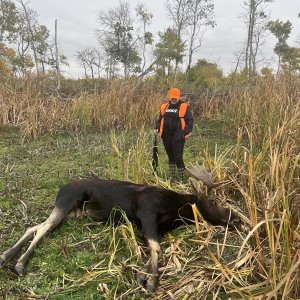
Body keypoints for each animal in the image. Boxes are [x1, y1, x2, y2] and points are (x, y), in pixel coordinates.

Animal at [0, 164, 240, 292]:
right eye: (214, 202)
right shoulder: (147, 212)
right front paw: (151, 281)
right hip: (67, 202)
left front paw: (143, 275)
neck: (175, 209)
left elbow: (154, 248)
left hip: (70, 213)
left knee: (35, 226)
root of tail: (60, 190)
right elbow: (157, 248)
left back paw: (7, 256)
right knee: (42, 228)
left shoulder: (155, 226)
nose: (236, 219)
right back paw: (19, 263)